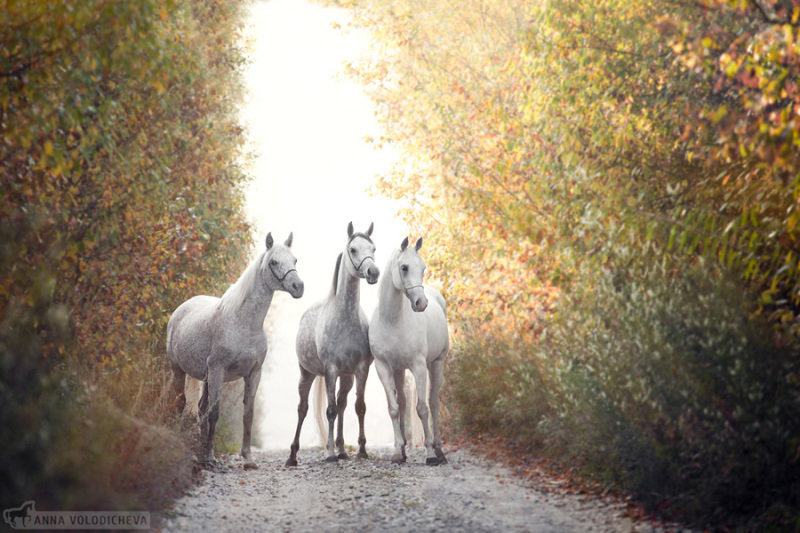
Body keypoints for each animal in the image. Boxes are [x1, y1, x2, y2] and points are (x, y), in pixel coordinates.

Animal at [166, 232, 304, 466]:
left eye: (295, 260)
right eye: (274, 262)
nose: (298, 286)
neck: (244, 323)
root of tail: (181, 309)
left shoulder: (253, 373)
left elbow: (247, 413)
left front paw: (248, 458)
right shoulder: (218, 370)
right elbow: (215, 413)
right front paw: (210, 456)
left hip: (206, 377)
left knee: (200, 408)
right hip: (180, 371)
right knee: (181, 403)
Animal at [284, 222, 378, 464]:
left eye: (373, 249)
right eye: (353, 249)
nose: (373, 272)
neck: (344, 317)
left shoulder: (360, 370)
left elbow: (359, 407)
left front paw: (361, 450)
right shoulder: (331, 370)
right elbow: (330, 411)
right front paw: (329, 453)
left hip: (346, 377)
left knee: (343, 404)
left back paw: (343, 449)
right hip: (307, 373)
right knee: (303, 408)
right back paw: (293, 456)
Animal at [370, 235, 450, 464]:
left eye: (423, 268)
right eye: (404, 267)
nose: (421, 303)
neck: (392, 320)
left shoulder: (419, 366)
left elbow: (422, 408)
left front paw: (429, 454)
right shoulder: (384, 367)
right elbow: (394, 408)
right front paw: (398, 452)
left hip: (437, 363)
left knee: (433, 403)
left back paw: (439, 450)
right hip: (399, 370)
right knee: (404, 403)